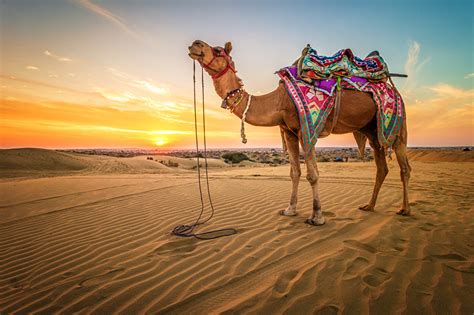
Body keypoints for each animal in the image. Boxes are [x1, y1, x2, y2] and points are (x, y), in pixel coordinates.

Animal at [187, 40, 410, 227]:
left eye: (218, 50)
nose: (195, 44)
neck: (278, 101)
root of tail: (393, 89)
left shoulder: (307, 130)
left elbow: (313, 175)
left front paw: (317, 217)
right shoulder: (290, 132)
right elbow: (294, 172)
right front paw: (290, 210)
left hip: (398, 125)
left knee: (404, 167)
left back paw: (405, 209)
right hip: (372, 130)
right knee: (381, 166)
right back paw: (369, 206)